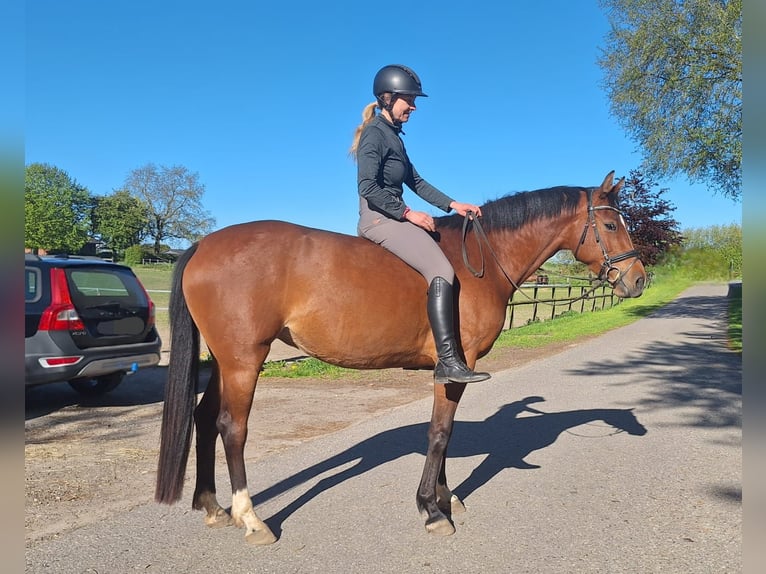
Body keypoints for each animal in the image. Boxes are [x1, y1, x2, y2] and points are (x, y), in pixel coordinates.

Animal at [155, 171, 647, 545]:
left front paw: (446, 498)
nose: (639, 279)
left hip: (225, 362)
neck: (481, 261)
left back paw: (212, 506)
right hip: (244, 360)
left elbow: (446, 435)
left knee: (204, 419)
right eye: (611, 226)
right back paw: (251, 519)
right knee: (231, 429)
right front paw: (431, 509)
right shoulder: (456, 369)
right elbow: (439, 434)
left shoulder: (451, 374)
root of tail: (203, 245)